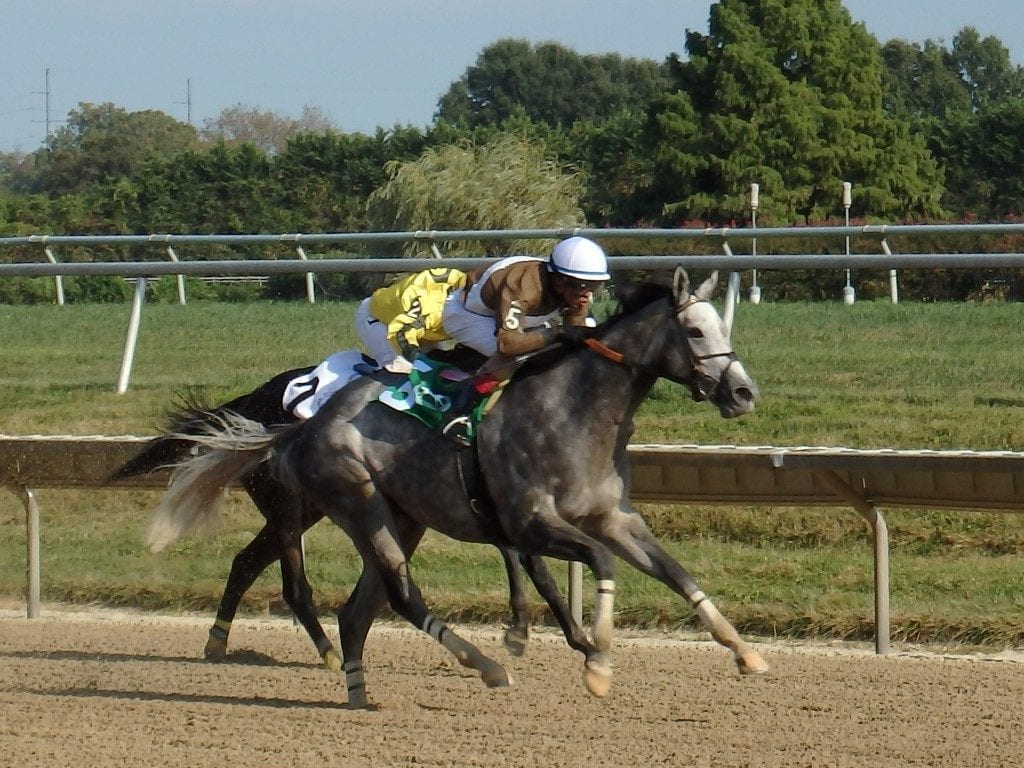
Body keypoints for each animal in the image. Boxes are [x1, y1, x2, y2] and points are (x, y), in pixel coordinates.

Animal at [151, 268, 770, 708]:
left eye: (725, 329)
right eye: (695, 331)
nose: (744, 394)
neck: (573, 411)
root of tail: (304, 423)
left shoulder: (614, 517)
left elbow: (677, 573)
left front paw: (745, 653)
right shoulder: (531, 523)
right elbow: (597, 563)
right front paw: (596, 663)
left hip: (402, 517)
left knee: (357, 609)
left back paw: (357, 691)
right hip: (358, 503)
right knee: (399, 595)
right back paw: (488, 668)